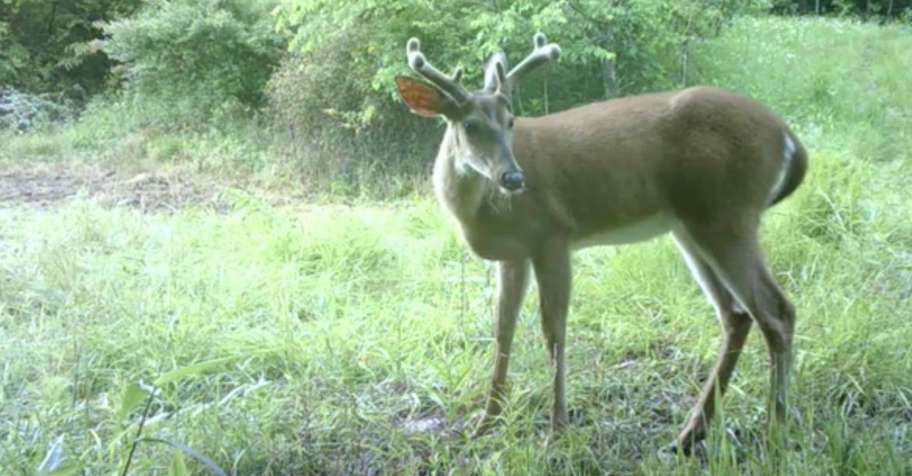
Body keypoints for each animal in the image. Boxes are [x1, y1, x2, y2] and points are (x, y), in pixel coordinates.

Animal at [395, 32, 807, 453]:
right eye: (470, 125)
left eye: (511, 121)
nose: (513, 177)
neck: (482, 210)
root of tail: (788, 136)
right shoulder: (513, 256)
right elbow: (502, 329)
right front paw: (485, 423)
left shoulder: (552, 237)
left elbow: (553, 331)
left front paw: (557, 430)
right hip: (693, 225)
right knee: (737, 315)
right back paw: (689, 434)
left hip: (728, 214)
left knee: (777, 310)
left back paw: (775, 429)